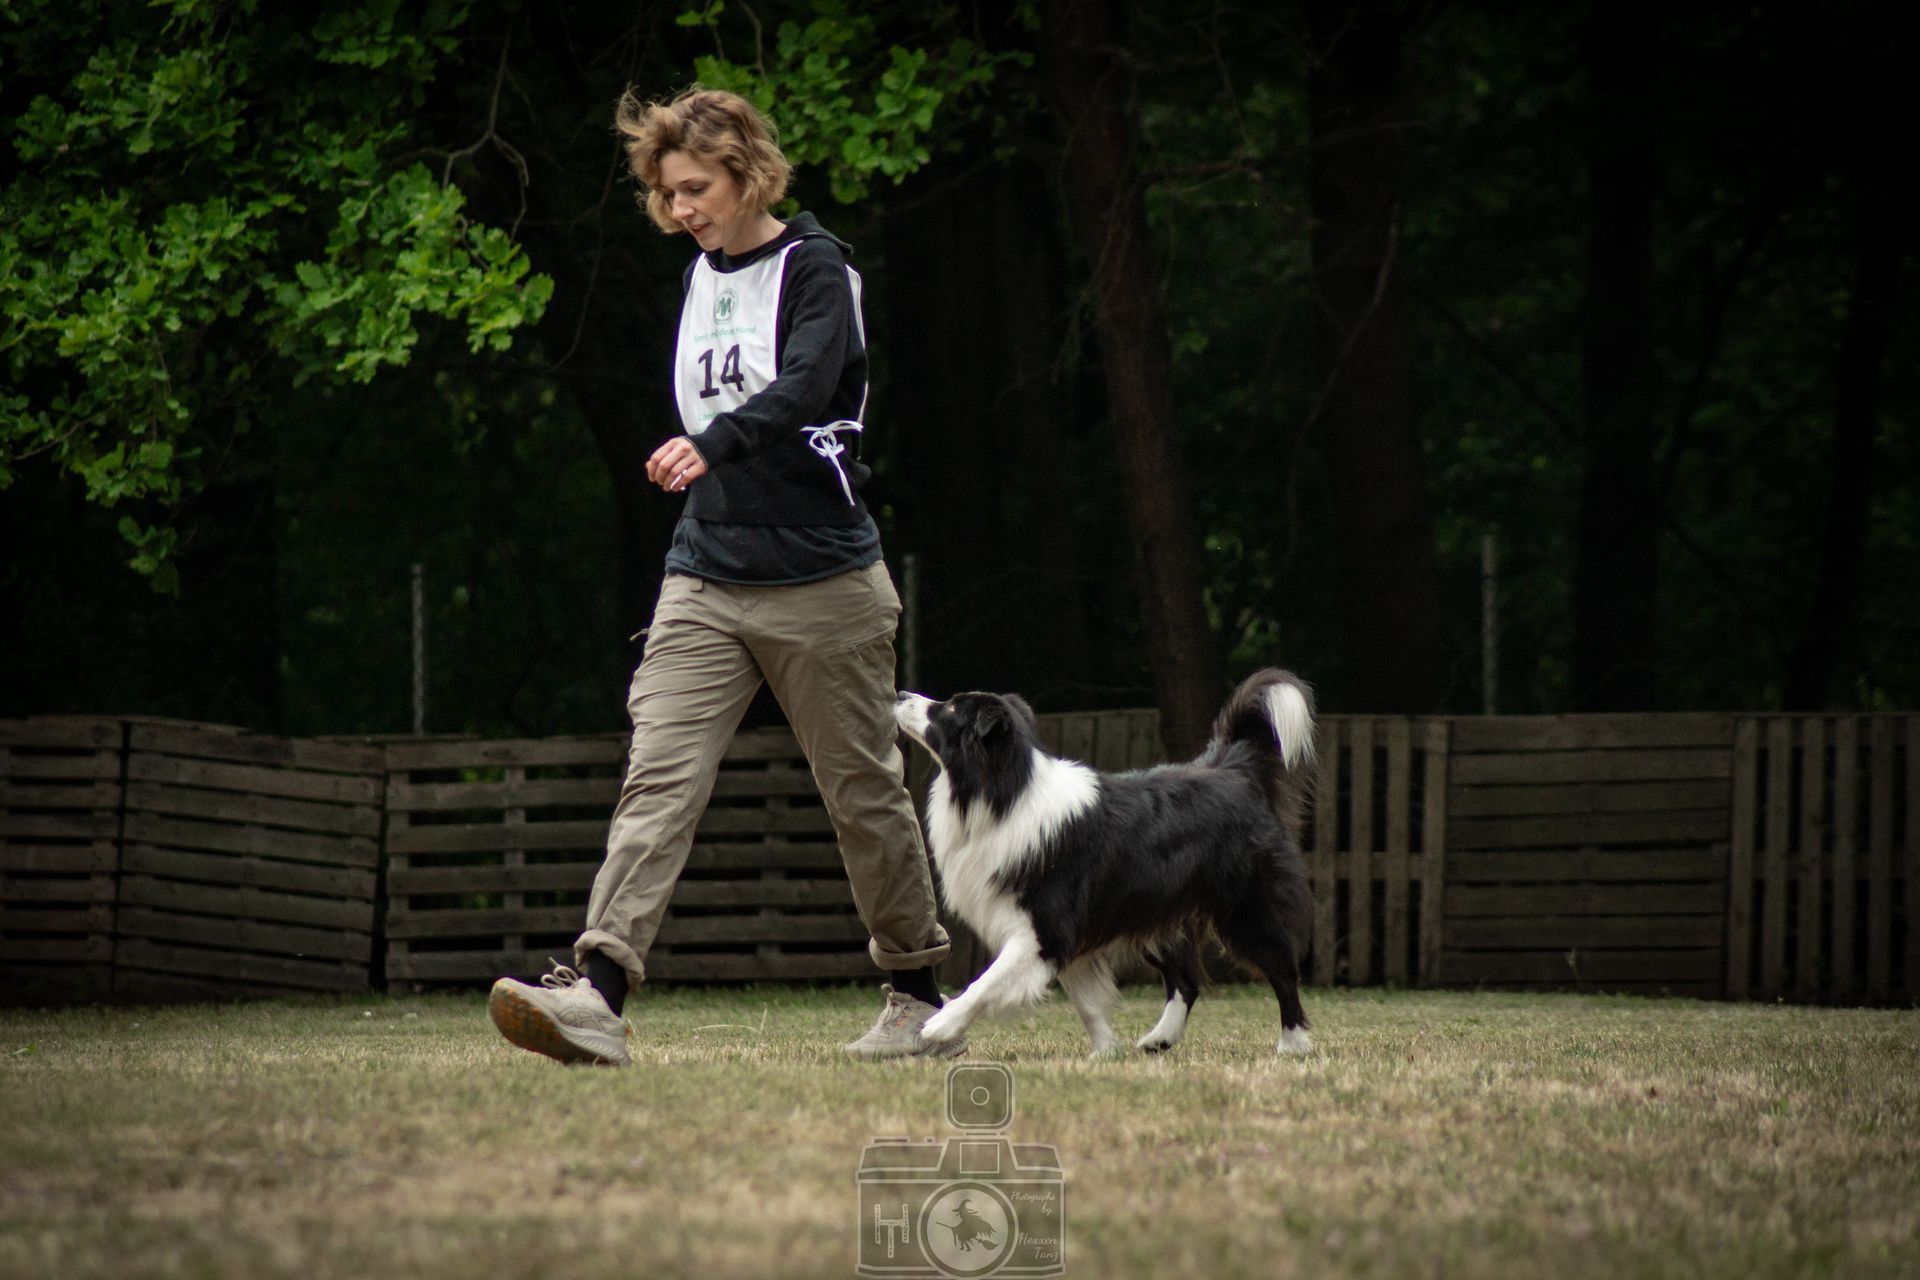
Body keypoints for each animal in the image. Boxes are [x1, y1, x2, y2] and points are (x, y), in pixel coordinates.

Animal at [894, 668, 1317, 1057]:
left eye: (951, 707)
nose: (899, 694)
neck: (1003, 793)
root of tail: (1234, 770)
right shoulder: (1072, 932)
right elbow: (1087, 1002)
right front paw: (1105, 1051)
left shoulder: (1045, 929)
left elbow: (988, 981)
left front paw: (941, 1024)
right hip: (1150, 910)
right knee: (1187, 981)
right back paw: (1160, 1038)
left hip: (1247, 908)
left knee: (1282, 970)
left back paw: (1294, 1043)